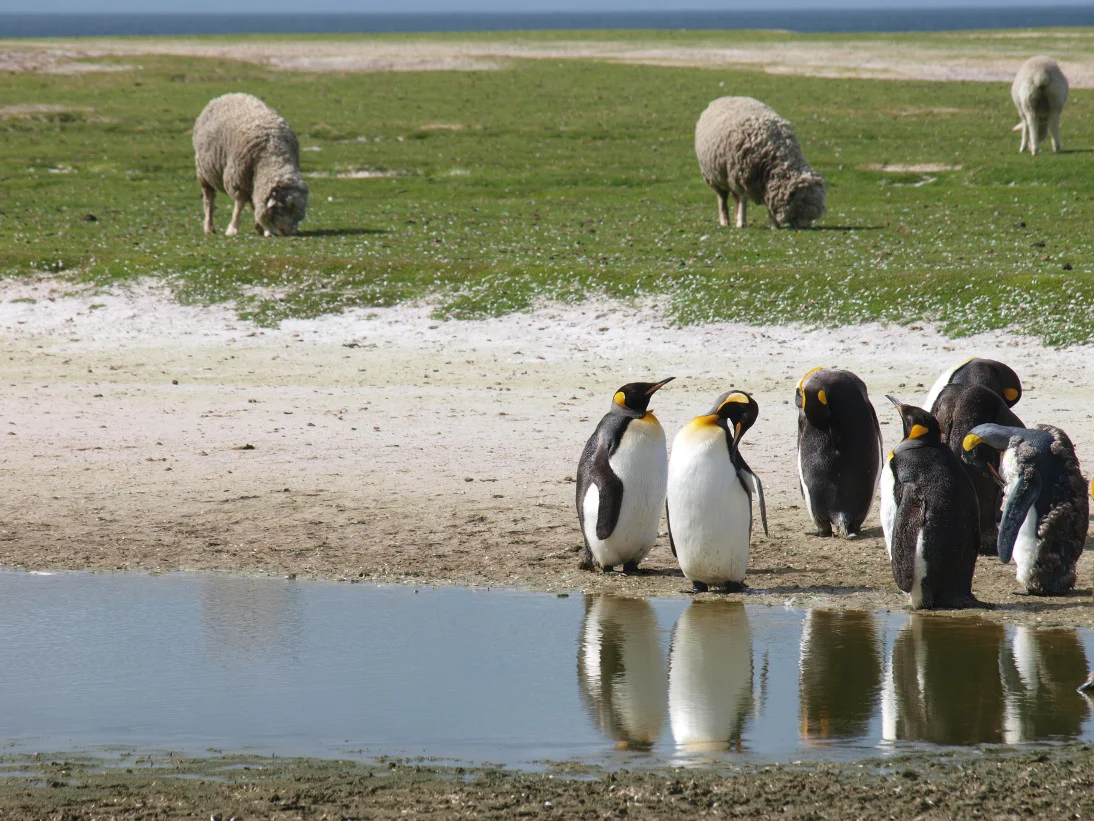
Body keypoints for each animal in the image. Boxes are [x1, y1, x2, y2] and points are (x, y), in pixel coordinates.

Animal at [193, 93, 308, 237]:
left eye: (298, 213)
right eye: (281, 208)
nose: (290, 232)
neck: (273, 154)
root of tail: (228, 95)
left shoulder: (255, 179)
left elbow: (256, 203)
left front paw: (262, 226)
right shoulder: (238, 179)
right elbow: (239, 204)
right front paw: (233, 229)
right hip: (204, 172)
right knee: (209, 199)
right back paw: (208, 227)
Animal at [694, 96, 825, 230]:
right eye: (801, 203)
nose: (805, 227)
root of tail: (725, 98)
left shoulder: (766, 182)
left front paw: (773, 225)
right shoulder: (741, 176)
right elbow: (743, 199)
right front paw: (742, 222)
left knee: (735, 197)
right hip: (716, 177)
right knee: (722, 199)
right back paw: (725, 221)